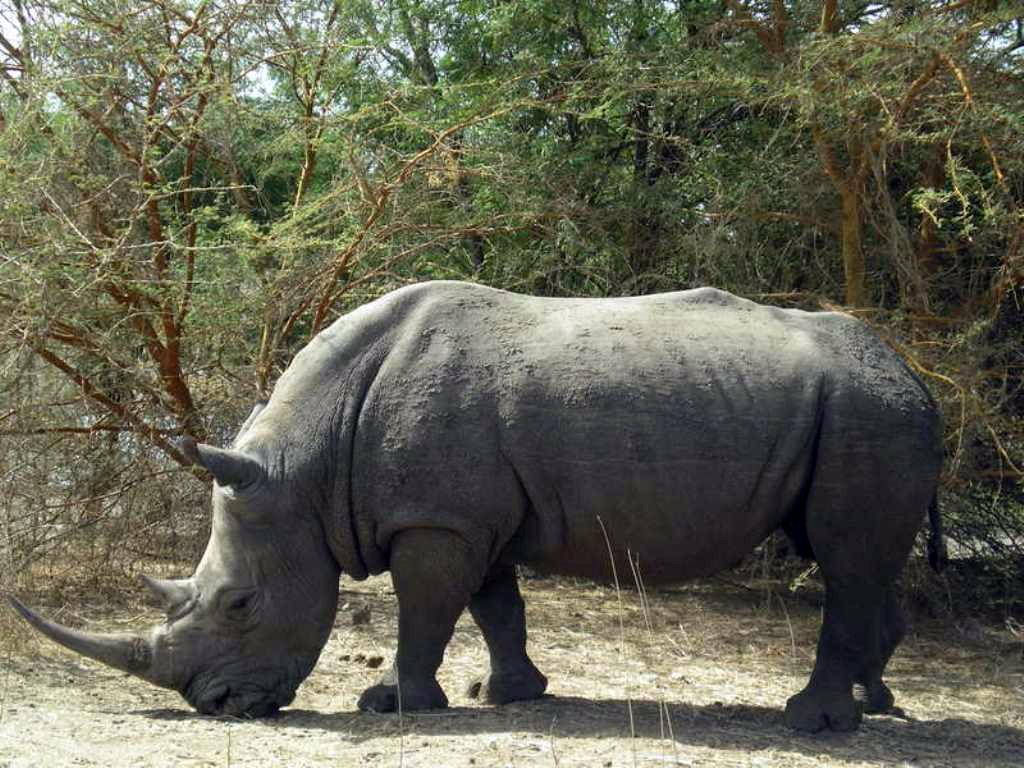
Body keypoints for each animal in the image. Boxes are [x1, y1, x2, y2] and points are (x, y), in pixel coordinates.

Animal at [8, 280, 944, 732]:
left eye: (240, 605)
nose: (213, 705)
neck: (304, 465)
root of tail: (916, 374)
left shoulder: (435, 518)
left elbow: (423, 612)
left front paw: (390, 705)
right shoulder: (467, 514)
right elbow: (496, 606)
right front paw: (509, 695)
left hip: (867, 413)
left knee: (844, 558)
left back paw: (814, 725)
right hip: (864, 413)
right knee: (856, 560)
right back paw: (873, 705)